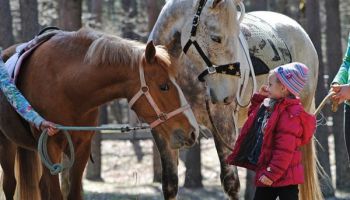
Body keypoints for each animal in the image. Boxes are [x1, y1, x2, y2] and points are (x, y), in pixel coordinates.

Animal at [0, 28, 197, 200]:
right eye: (164, 86)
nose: (193, 132)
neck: (66, 86)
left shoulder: (82, 147)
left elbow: (73, 193)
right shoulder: (50, 146)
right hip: (7, 145)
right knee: (10, 185)